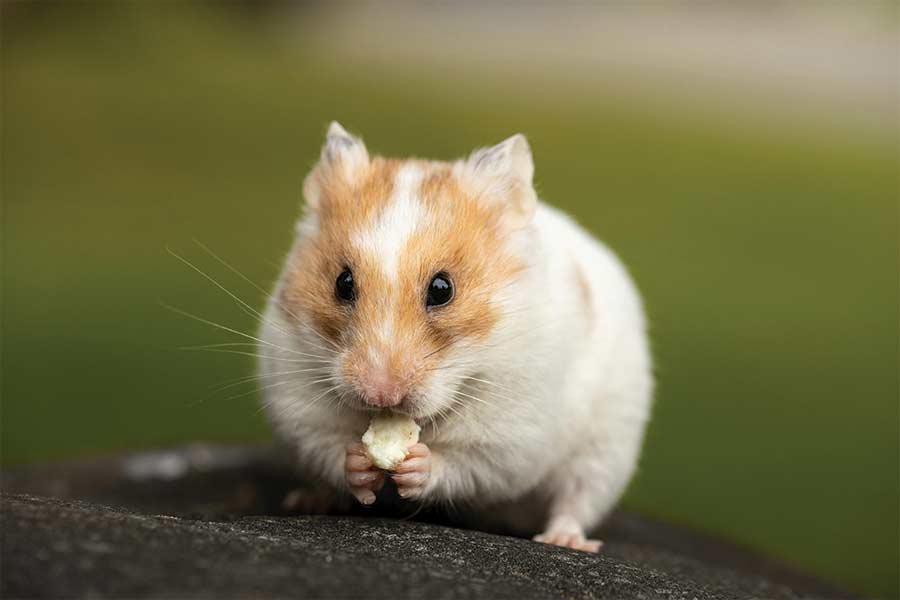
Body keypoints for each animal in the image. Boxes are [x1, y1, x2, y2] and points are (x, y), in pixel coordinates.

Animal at [260, 122, 652, 552]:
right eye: (342, 283)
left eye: (442, 289)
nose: (381, 396)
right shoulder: (299, 403)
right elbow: (329, 447)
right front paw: (361, 463)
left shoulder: (510, 435)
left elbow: (464, 464)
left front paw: (416, 464)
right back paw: (307, 500)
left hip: (606, 448)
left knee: (576, 499)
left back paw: (564, 540)